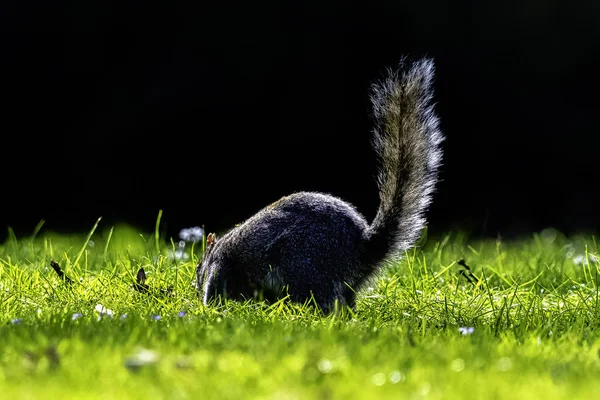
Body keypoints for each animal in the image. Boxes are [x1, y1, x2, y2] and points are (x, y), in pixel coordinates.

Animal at [195, 57, 442, 312]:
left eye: (197, 268)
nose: (194, 288)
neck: (219, 249)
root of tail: (361, 251)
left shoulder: (221, 267)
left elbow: (216, 287)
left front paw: (207, 307)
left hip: (305, 268)